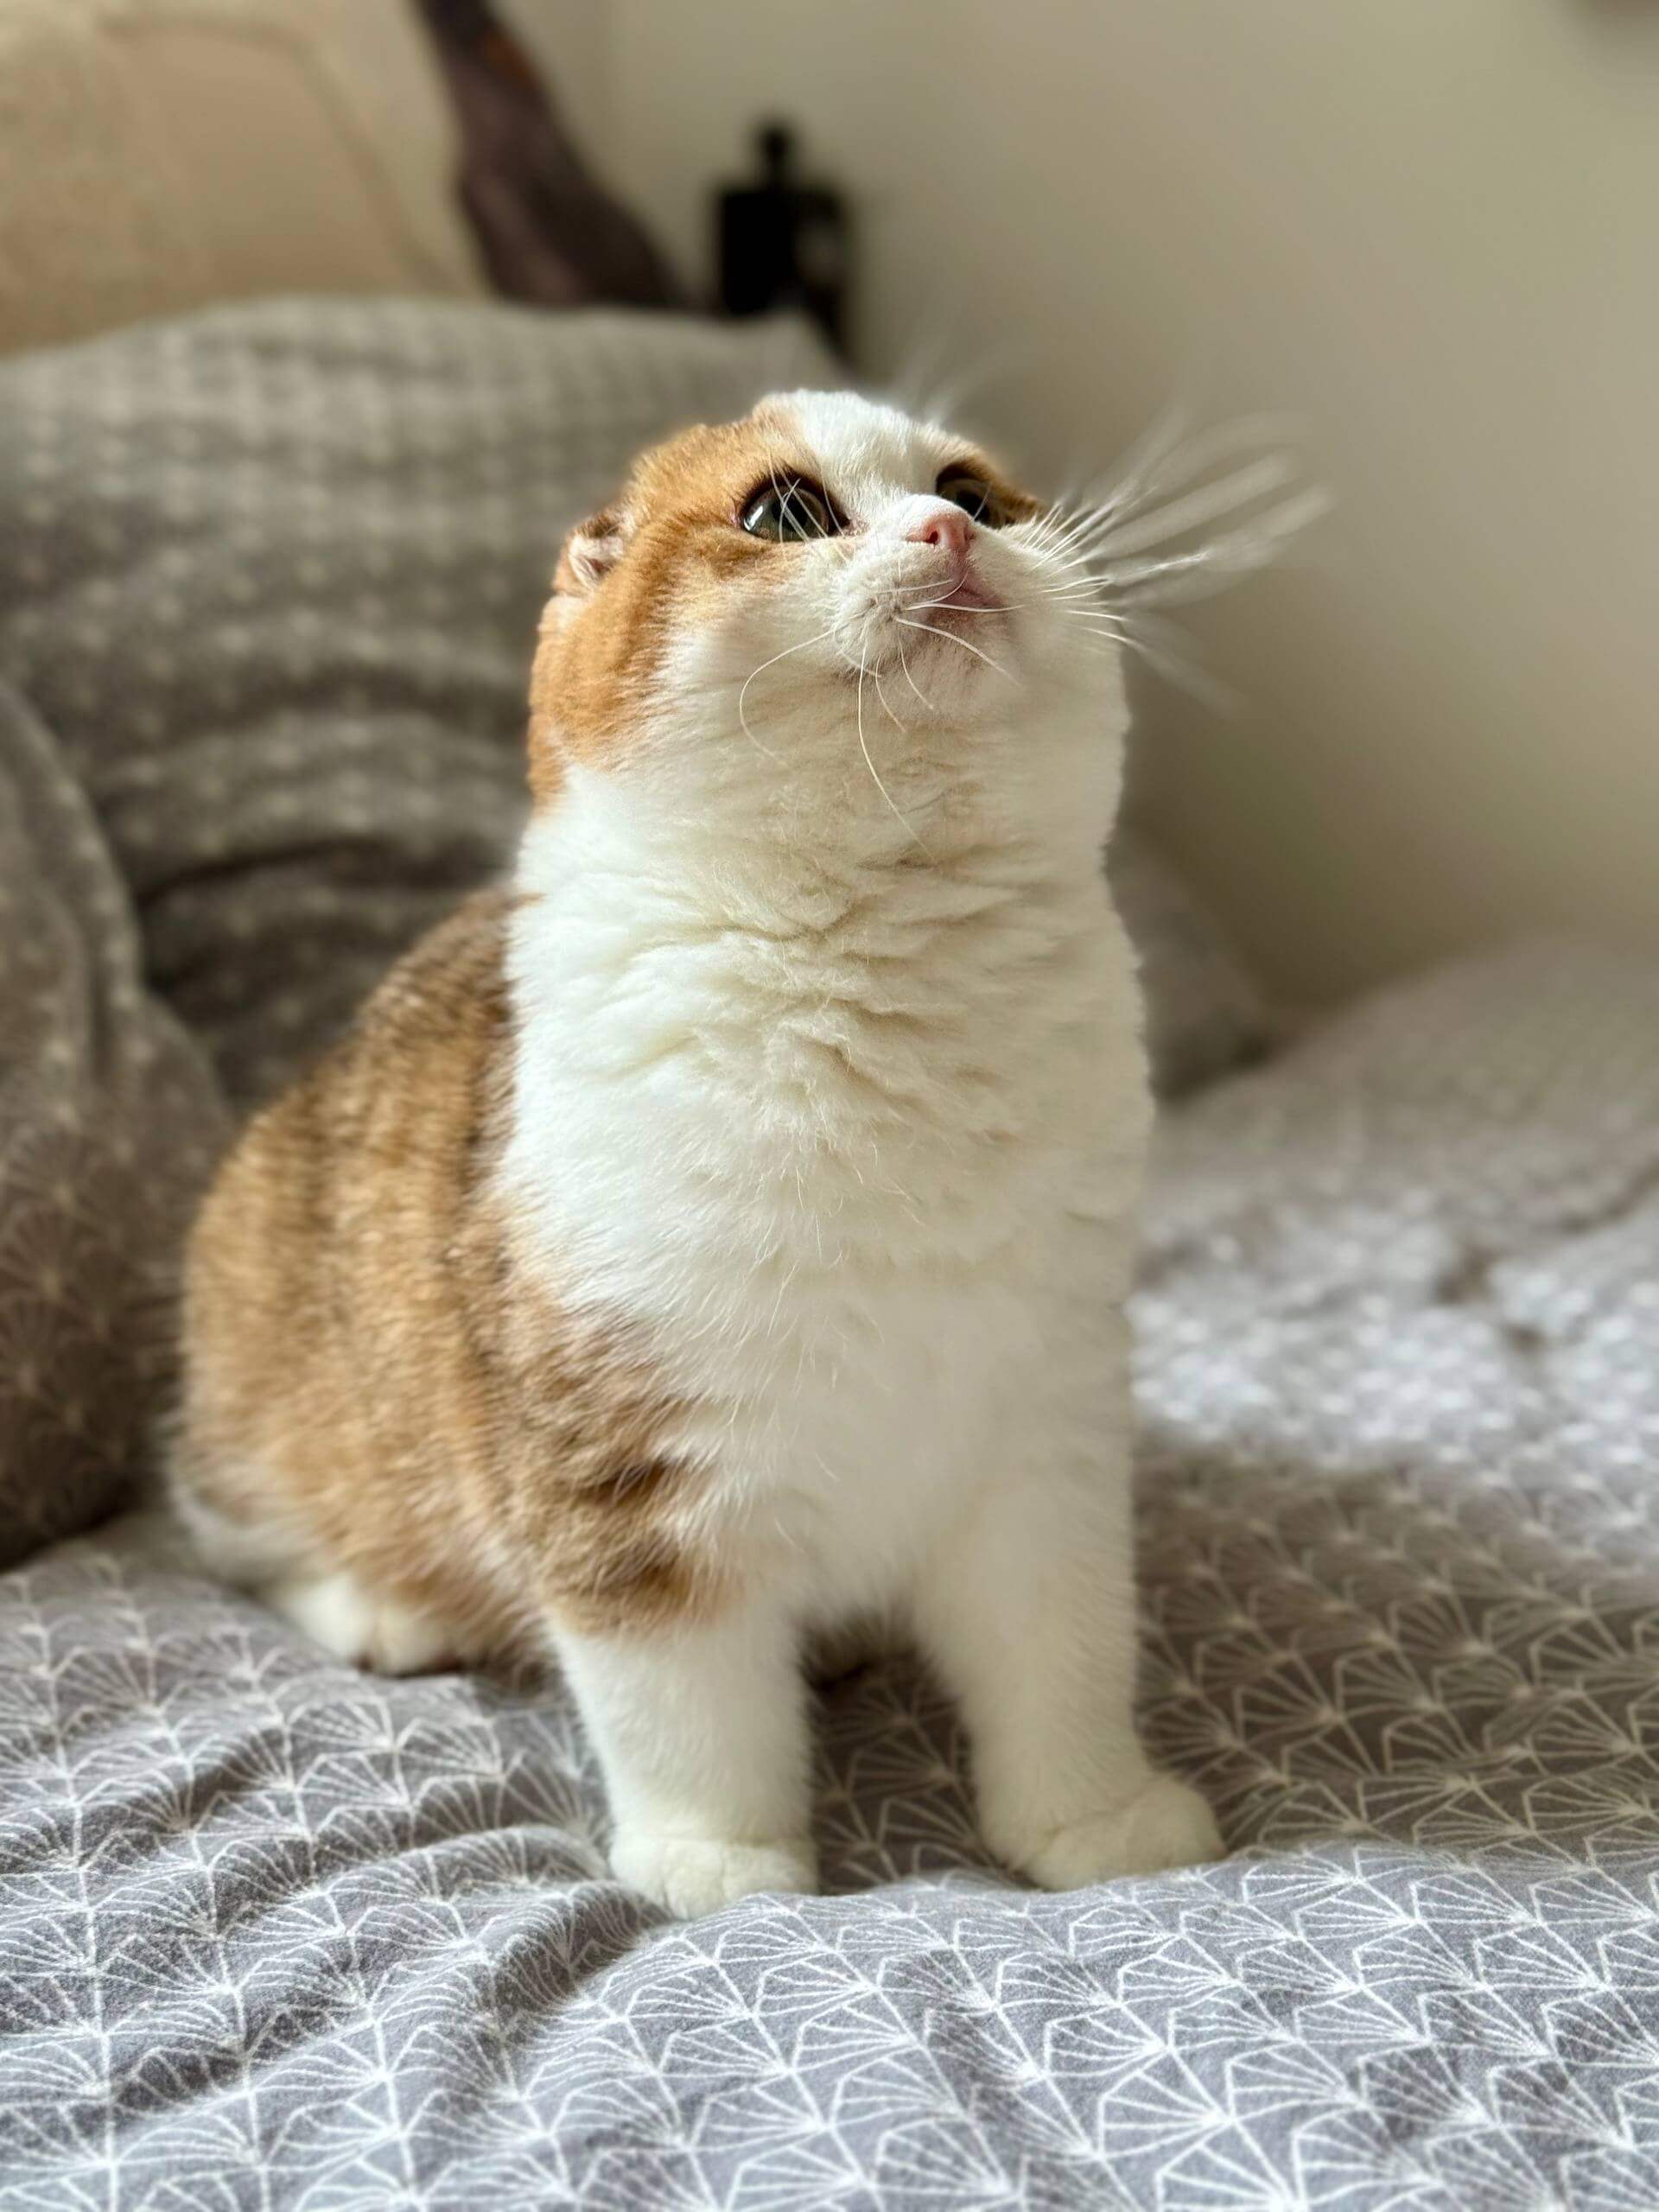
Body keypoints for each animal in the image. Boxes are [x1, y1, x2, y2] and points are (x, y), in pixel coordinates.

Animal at [170, 390, 1223, 1917]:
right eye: (786, 513)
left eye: (976, 490)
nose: (949, 531)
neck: (879, 988)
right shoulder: (624, 1473)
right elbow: (686, 1701)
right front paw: (721, 1864)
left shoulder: (1046, 1428)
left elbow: (1062, 1644)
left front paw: (1093, 1814)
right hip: (267, 1356)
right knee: (236, 1527)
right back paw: (384, 1606)